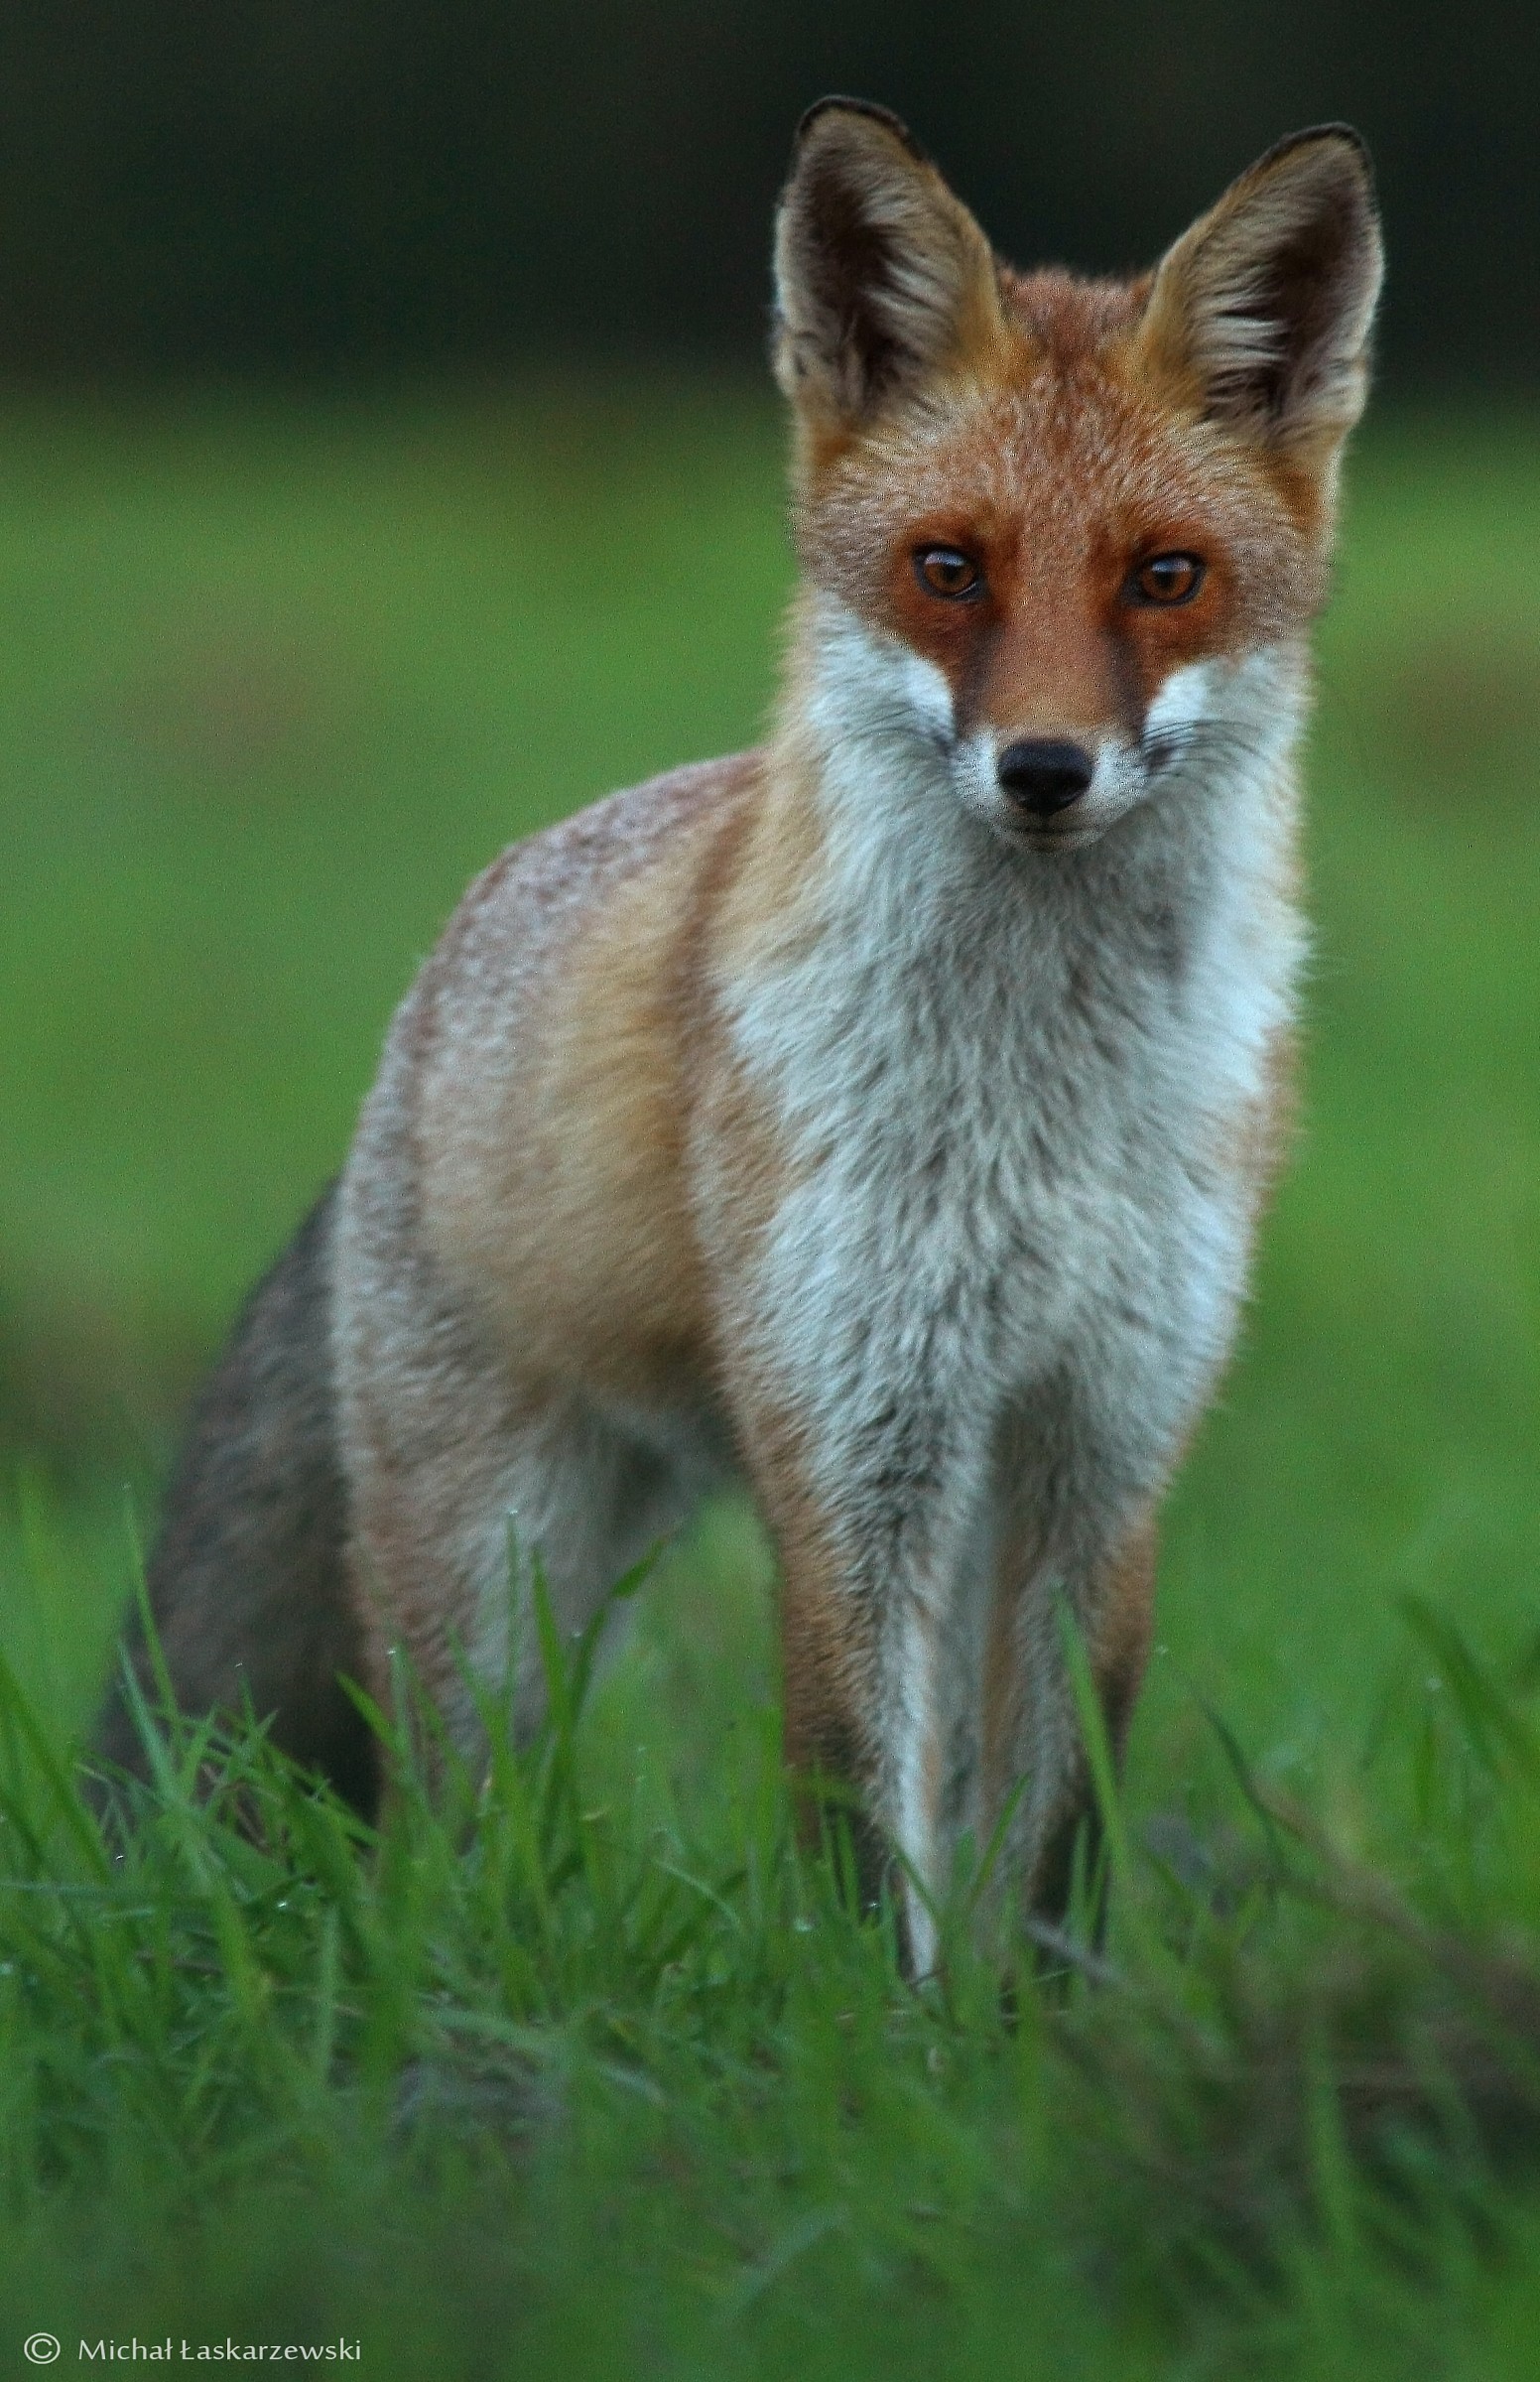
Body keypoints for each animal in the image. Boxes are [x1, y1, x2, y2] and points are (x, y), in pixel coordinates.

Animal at [97, 101, 1381, 1968]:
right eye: (946, 570)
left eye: (1166, 578)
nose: (1045, 770)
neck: (1034, 1108)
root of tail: (424, 1005)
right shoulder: (857, 1448)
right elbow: (861, 1834)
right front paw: (880, 2038)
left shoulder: (1103, 1447)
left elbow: (1043, 1850)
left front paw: (1025, 2036)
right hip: (504, 1598)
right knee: (448, 1843)